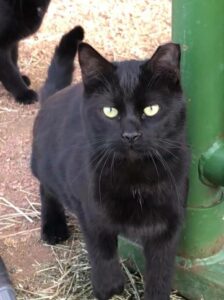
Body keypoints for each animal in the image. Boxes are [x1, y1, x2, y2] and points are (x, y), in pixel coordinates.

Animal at [31, 26, 189, 300]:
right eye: (110, 112)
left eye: (151, 109)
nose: (130, 135)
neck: (136, 178)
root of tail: (52, 98)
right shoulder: (91, 212)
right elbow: (102, 251)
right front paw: (109, 286)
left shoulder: (169, 226)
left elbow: (161, 273)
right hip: (45, 165)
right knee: (47, 188)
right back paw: (53, 227)